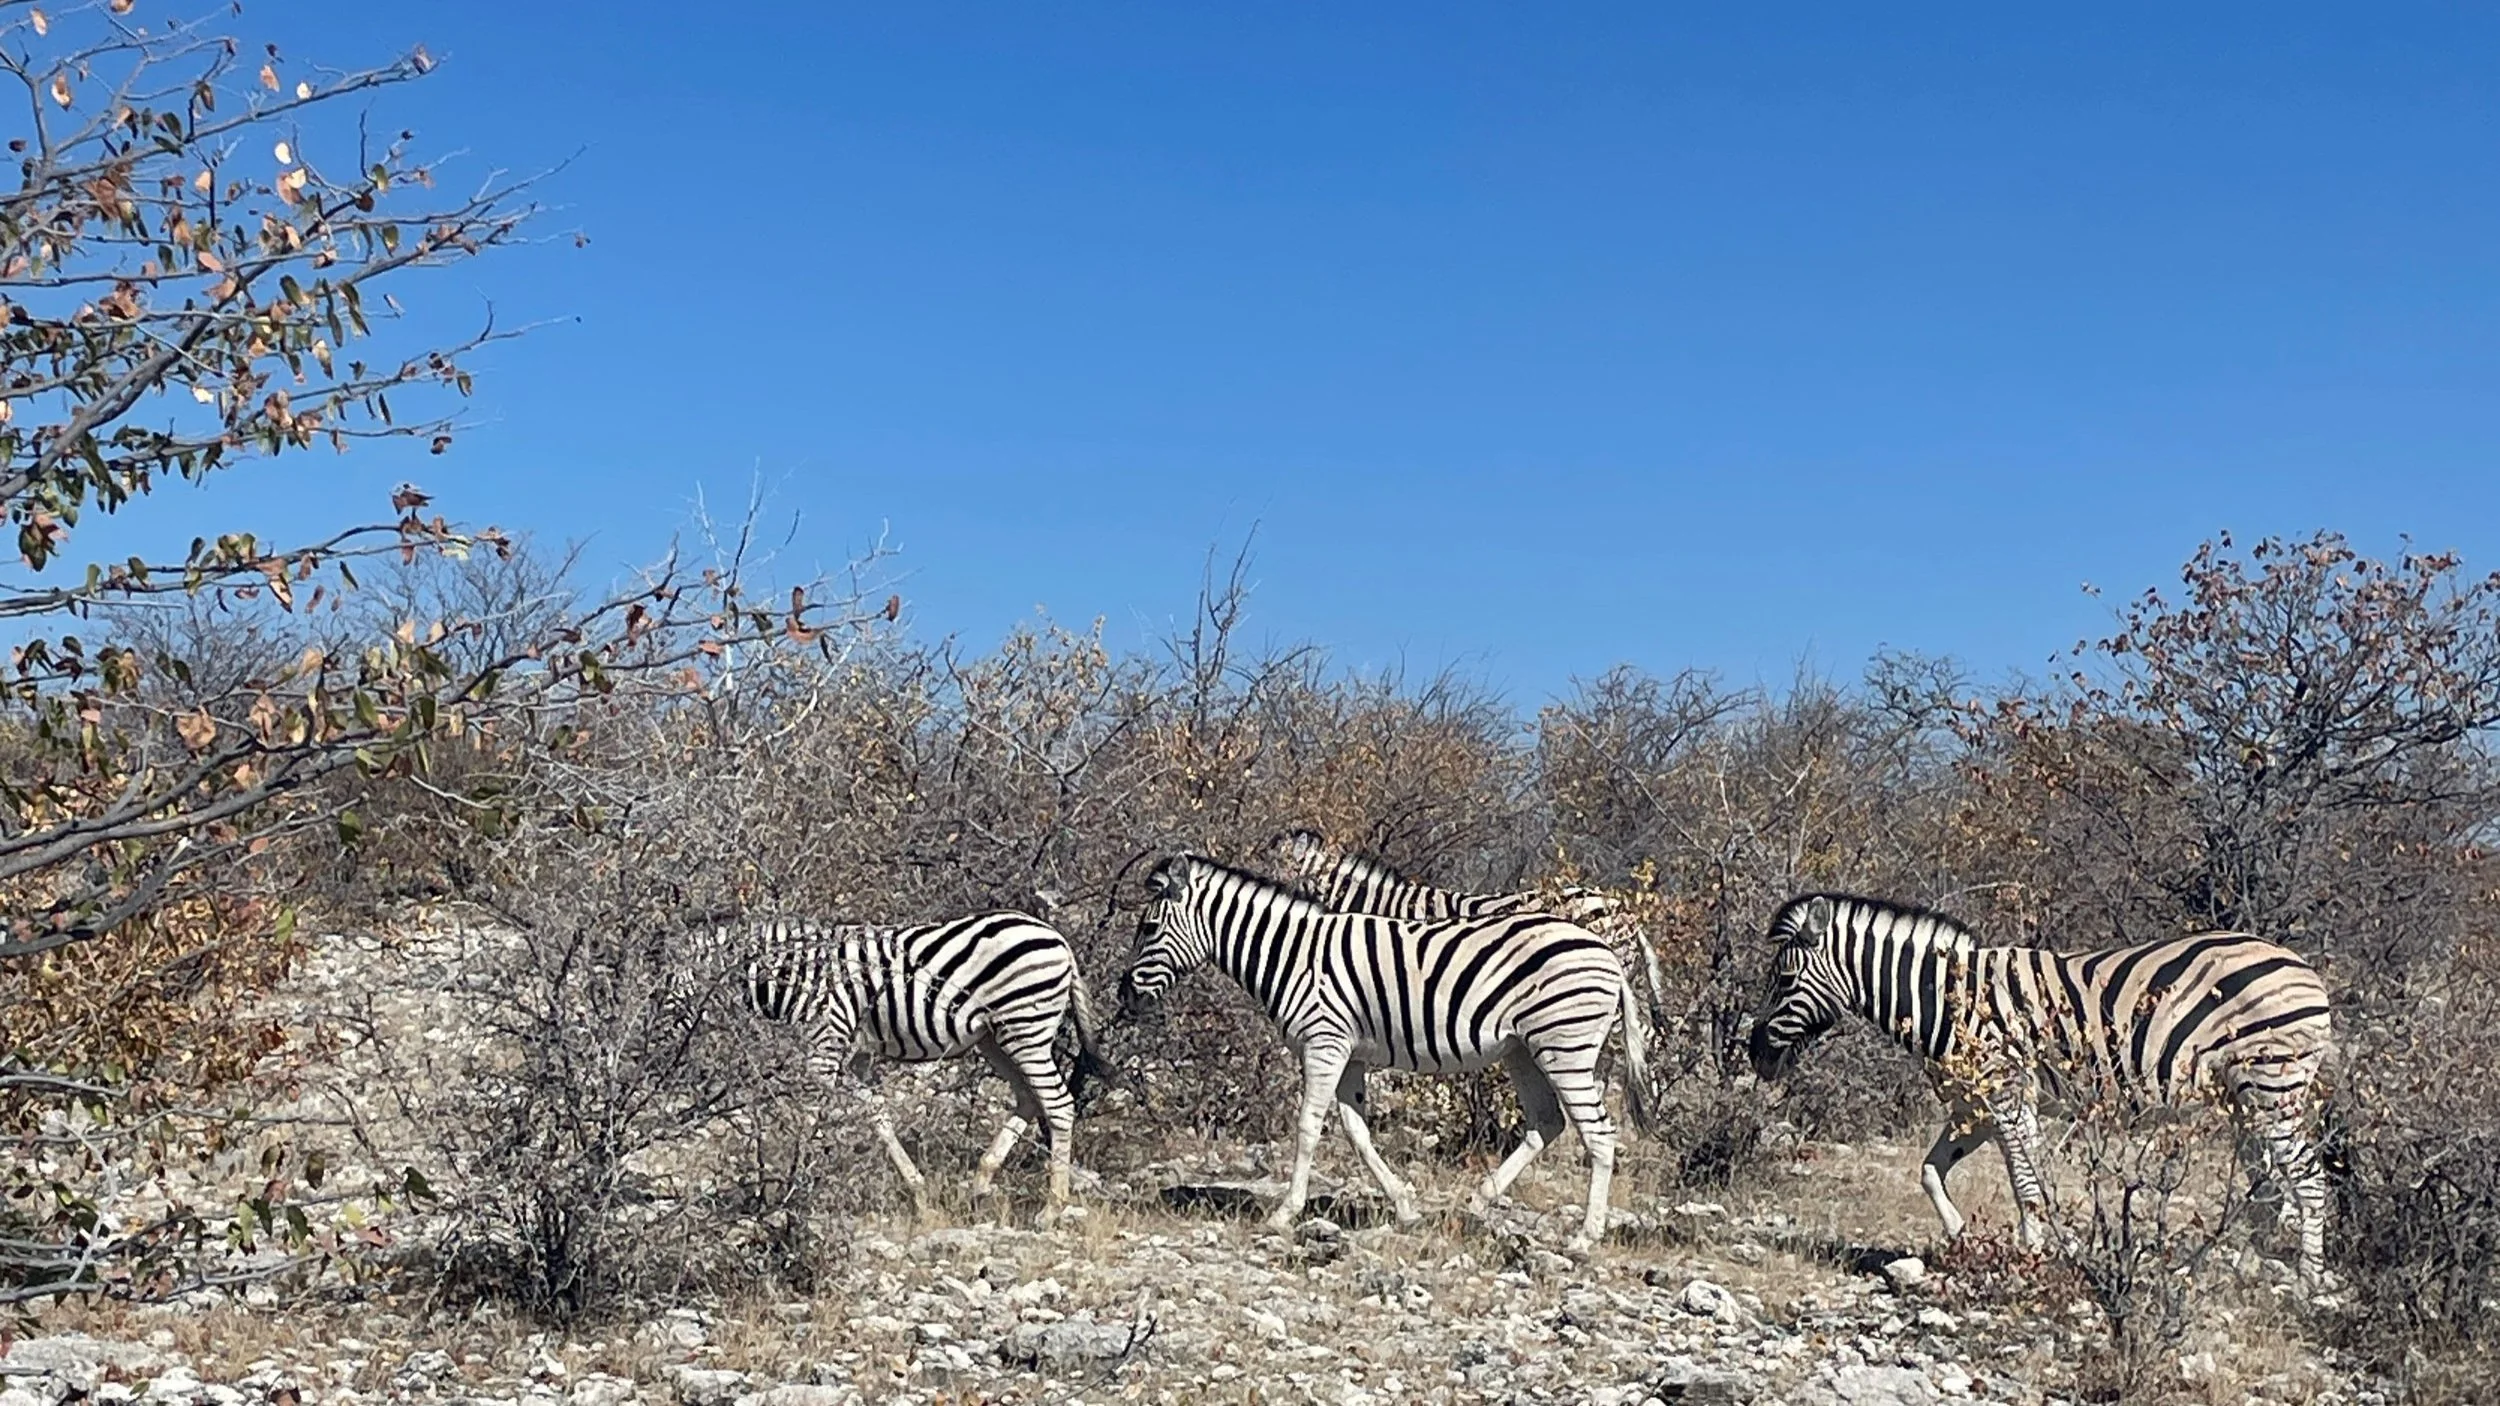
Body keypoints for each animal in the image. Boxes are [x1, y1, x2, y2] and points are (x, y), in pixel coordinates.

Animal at [685, 910, 1116, 1209]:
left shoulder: (825, 1047)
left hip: (1024, 1025)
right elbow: (877, 1113)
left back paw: (1053, 1206)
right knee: (1029, 1098)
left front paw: (790, 1185)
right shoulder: (855, 1056)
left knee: (1057, 1104)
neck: (795, 977)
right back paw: (981, 1182)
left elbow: (810, 1119)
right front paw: (917, 1189)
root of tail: (1059, 940)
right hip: (995, 1037)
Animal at [1119, 853, 1657, 1248]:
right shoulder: (1350, 1053)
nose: (1124, 995)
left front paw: (1283, 1214)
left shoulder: (1324, 1042)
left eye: (1148, 929)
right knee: (1547, 1123)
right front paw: (1406, 1206)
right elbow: (1357, 1132)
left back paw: (1585, 1237)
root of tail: (1608, 952)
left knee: (1599, 1134)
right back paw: (1478, 1201)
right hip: (1523, 1049)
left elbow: (1308, 1128)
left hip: (1565, 1046)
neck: (1293, 954)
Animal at [1745, 893, 2334, 1283]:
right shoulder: (1975, 1108)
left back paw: (2306, 1283)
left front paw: (2035, 1253)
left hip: (2273, 1085)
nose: (1754, 1055)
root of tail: (2306, 970)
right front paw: (1964, 1235)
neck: (1946, 1002)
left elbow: (2026, 1182)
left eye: (1783, 981)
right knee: (2266, 1189)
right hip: (2245, 1100)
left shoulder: (2008, 1094)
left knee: (2307, 1179)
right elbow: (1934, 1171)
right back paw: (2228, 1267)